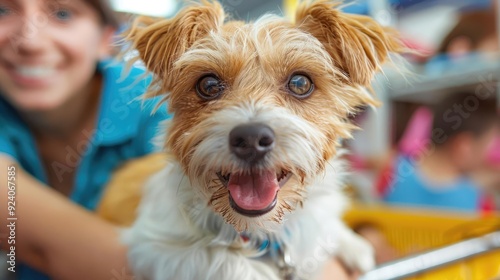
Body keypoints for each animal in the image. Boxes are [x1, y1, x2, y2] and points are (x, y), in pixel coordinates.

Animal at [96, 1, 402, 278]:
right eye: (208, 85)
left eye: (300, 83)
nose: (252, 139)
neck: (256, 232)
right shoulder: (152, 245)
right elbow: (218, 258)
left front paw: (349, 242)